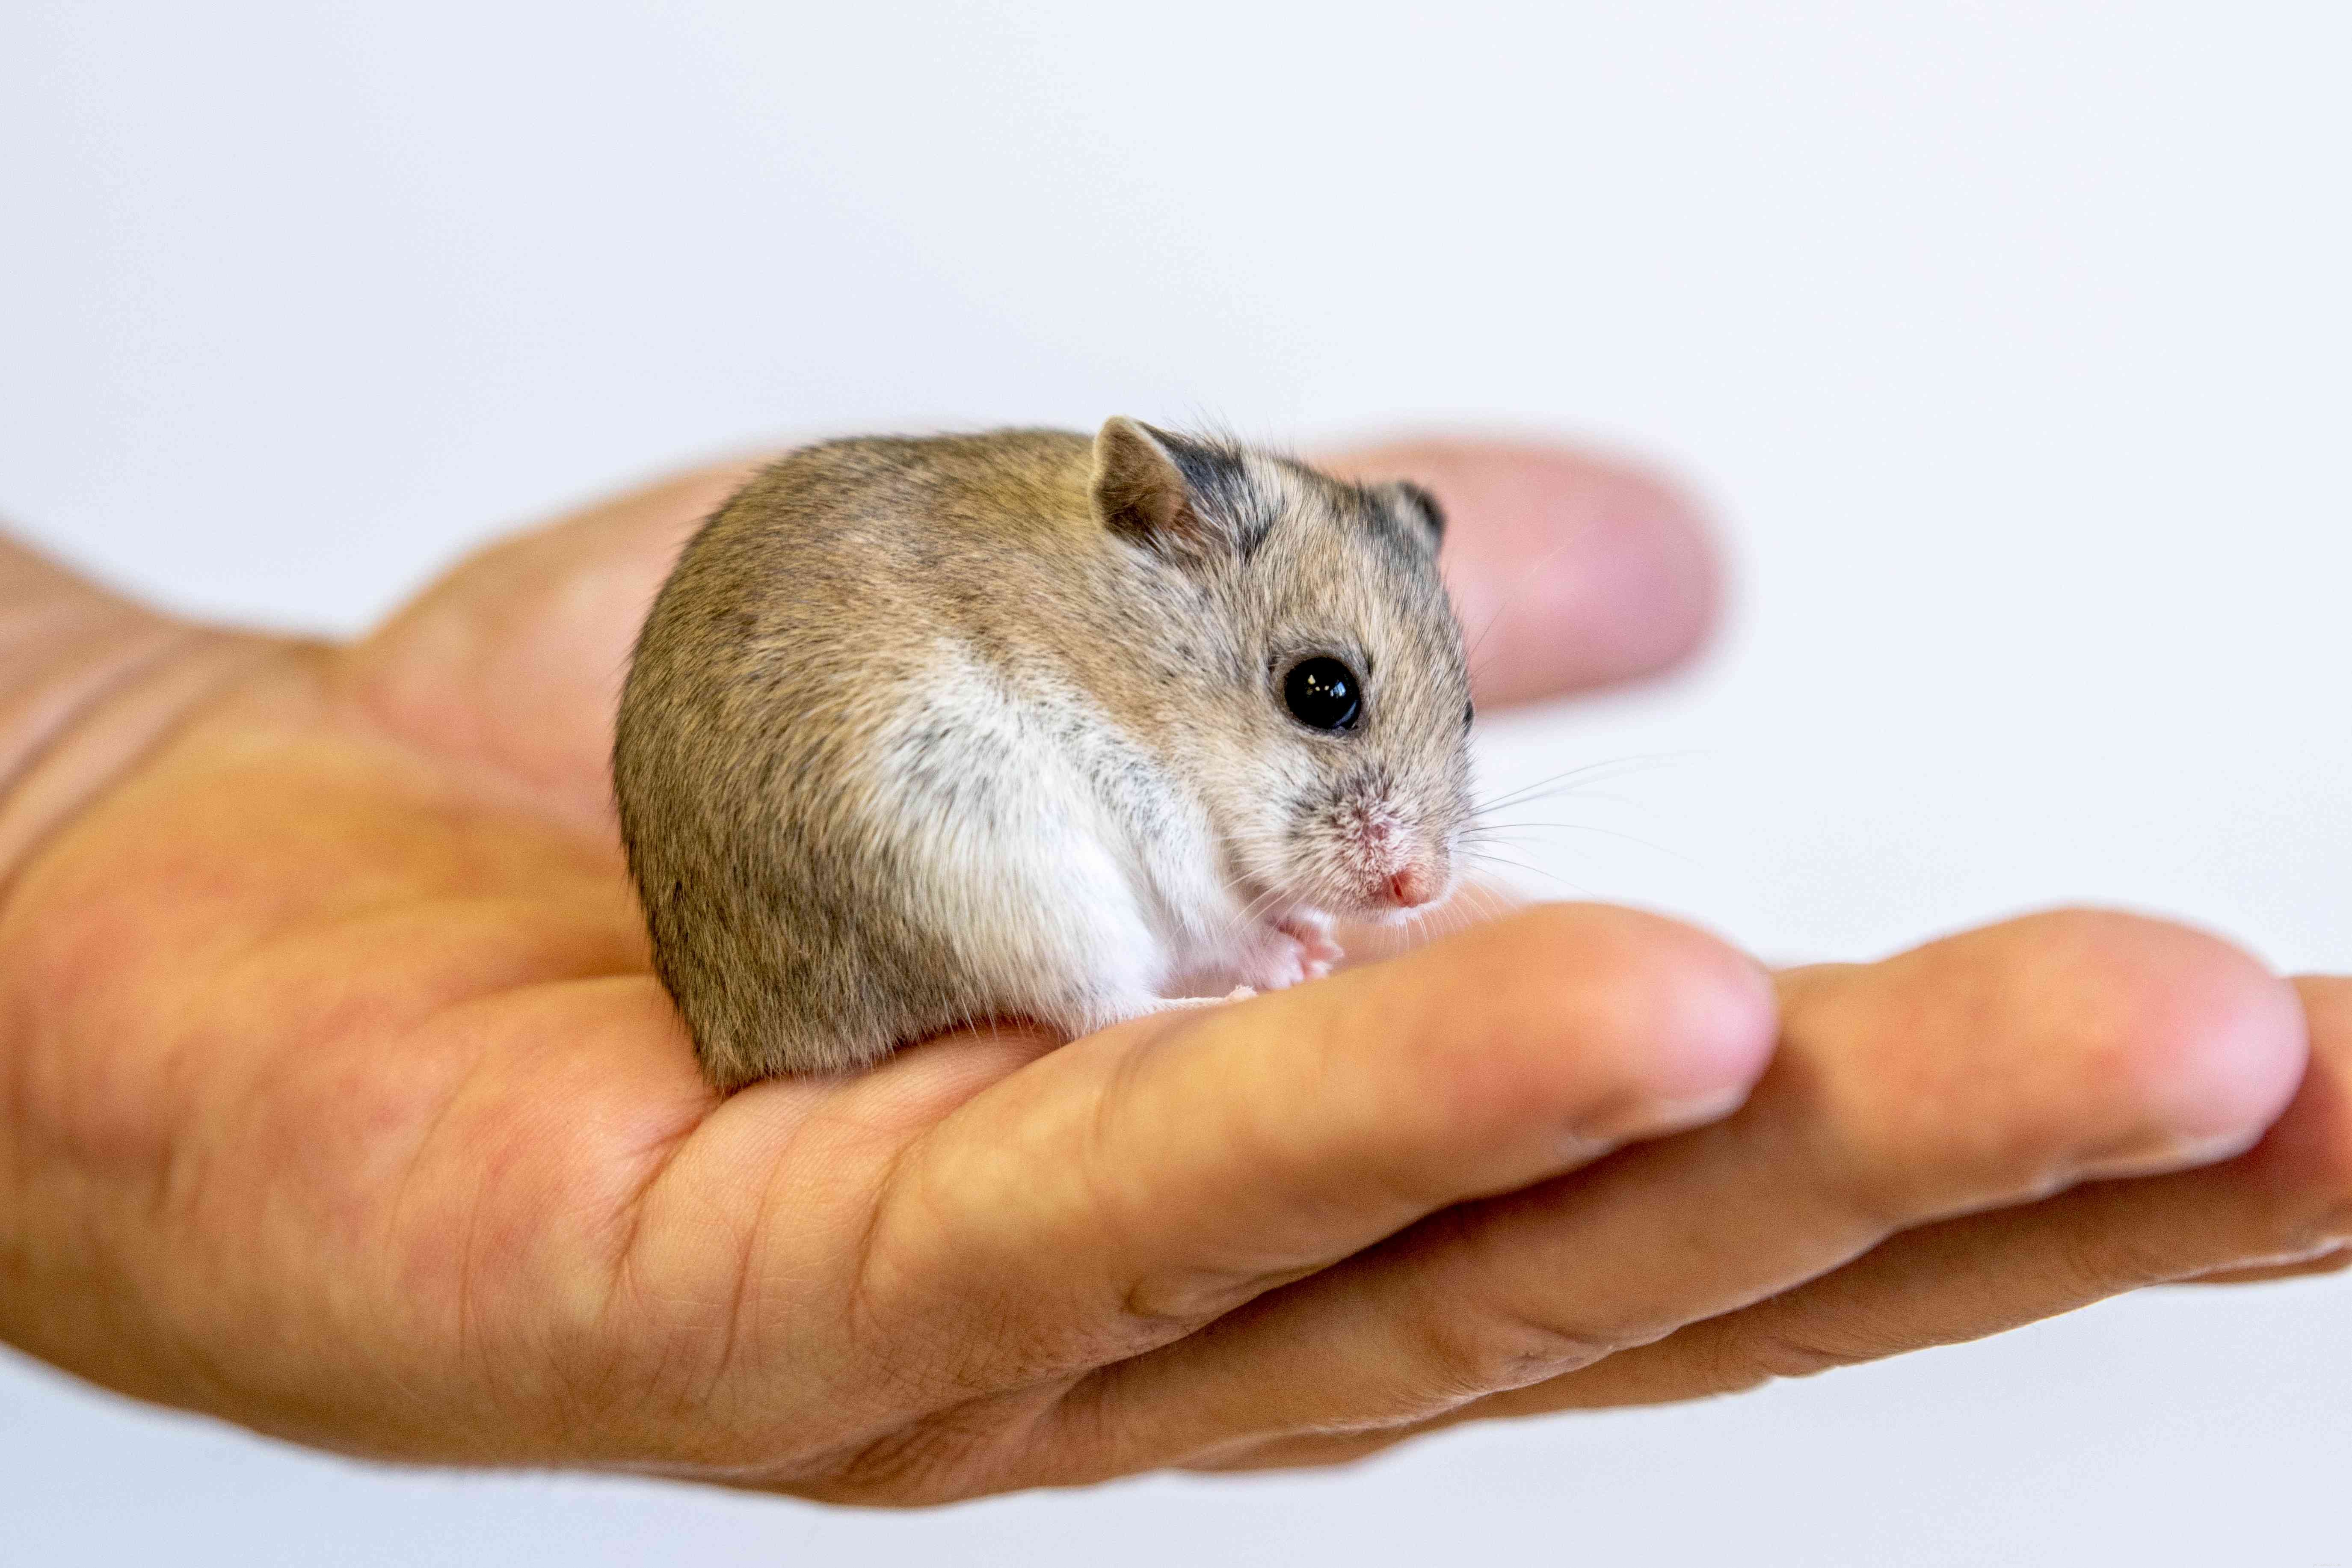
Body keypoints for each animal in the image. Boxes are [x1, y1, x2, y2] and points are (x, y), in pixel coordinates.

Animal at [614, 418, 1474, 1087]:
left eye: (1466, 711)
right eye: (1322, 691)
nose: (1420, 890)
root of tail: (732, 1040)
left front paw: (1319, 942)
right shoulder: (1163, 828)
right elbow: (1218, 920)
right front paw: (1300, 960)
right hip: (1018, 884)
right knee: (1104, 1009)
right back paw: (1217, 1002)